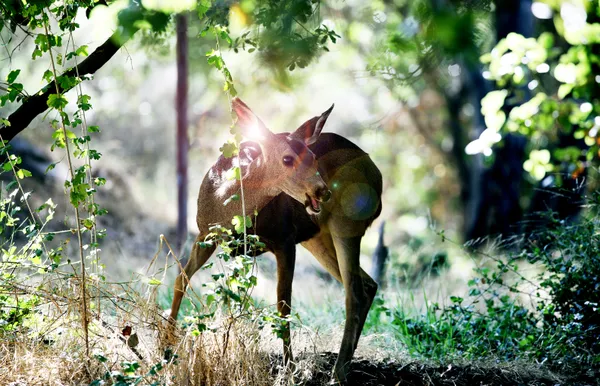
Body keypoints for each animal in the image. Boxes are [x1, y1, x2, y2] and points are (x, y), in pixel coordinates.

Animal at [168, 97, 384, 382]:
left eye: (313, 157)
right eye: (287, 158)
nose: (322, 191)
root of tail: (378, 175)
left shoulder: (285, 239)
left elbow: (283, 305)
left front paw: (289, 369)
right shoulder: (205, 235)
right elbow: (181, 280)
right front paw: (165, 344)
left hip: (346, 223)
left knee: (354, 292)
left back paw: (338, 372)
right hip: (317, 236)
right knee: (368, 285)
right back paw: (345, 364)